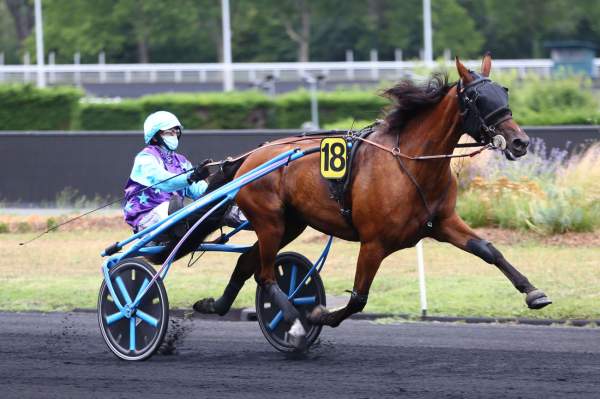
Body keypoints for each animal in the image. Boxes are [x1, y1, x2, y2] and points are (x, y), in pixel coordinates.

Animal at [193, 54, 552, 350]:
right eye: (477, 98)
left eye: (504, 91)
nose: (520, 142)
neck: (411, 163)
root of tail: (250, 156)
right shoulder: (374, 243)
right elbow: (358, 299)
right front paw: (317, 316)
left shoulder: (443, 223)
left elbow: (488, 250)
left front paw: (534, 292)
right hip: (269, 221)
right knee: (265, 276)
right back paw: (293, 321)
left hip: (289, 224)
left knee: (247, 263)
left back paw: (214, 305)